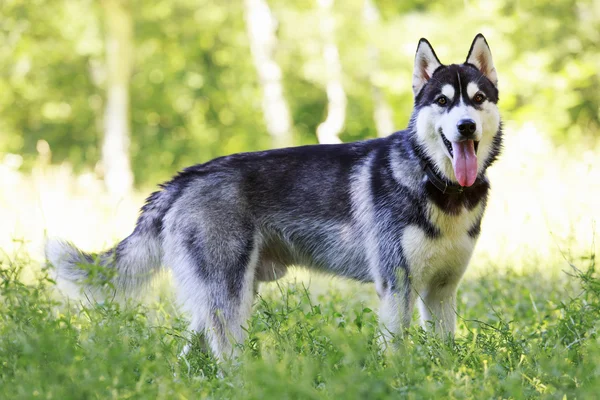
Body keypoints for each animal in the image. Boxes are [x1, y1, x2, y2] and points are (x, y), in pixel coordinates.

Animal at [47, 34, 502, 360]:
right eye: (442, 101)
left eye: (478, 99)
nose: (465, 126)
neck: (437, 185)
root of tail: (185, 177)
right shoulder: (397, 288)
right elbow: (396, 353)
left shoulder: (441, 292)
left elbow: (444, 352)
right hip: (229, 297)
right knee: (225, 355)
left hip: (227, 296)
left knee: (189, 356)